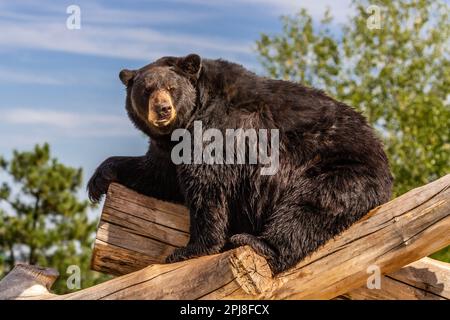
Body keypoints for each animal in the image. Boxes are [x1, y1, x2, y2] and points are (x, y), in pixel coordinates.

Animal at [89, 53, 394, 274]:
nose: (163, 109)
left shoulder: (218, 129)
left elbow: (207, 187)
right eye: (146, 90)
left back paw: (257, 243)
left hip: (340, 170)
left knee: (312, 206)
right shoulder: (169, 149)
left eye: (172, 88)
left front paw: (191, 249)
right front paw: (99, 180)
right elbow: (157, 175)